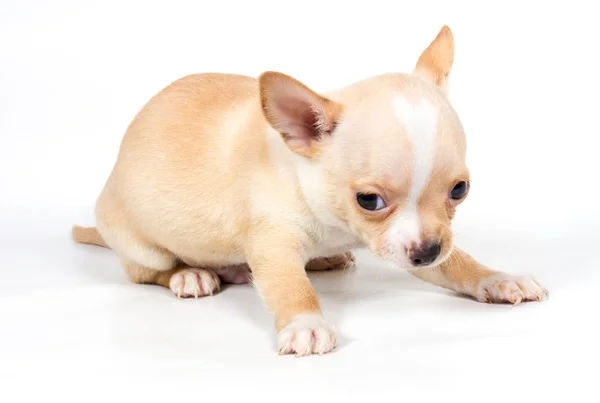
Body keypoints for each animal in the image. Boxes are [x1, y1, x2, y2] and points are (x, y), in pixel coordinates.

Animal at [71, 26, 548, 356]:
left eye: (460, 190)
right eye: (369, 200)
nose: (429, 251)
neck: (335, 219)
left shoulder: (410, 244)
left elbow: (458, 263)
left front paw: (497, 278)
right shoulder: (274, 245)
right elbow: (290, 285)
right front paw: (305, 324)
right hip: (141, 246)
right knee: (145, 271)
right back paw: (189, 274)